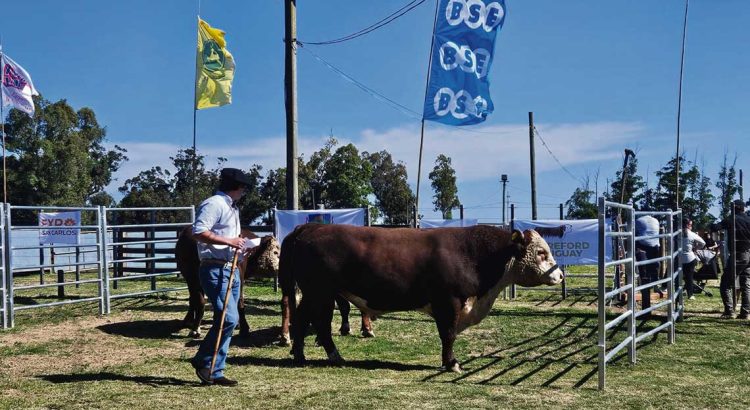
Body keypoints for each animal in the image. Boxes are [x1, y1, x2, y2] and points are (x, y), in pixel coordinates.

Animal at [282, 224, 564, 372]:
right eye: (541, 252)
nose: (560, 274)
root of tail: (311, 226)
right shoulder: (448, 303)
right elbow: (448, 335)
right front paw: (451, 363)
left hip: (314, 293)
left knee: (302, 319)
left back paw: (300, 355)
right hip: (321, 292)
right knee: (319, 324)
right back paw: (334, 356)